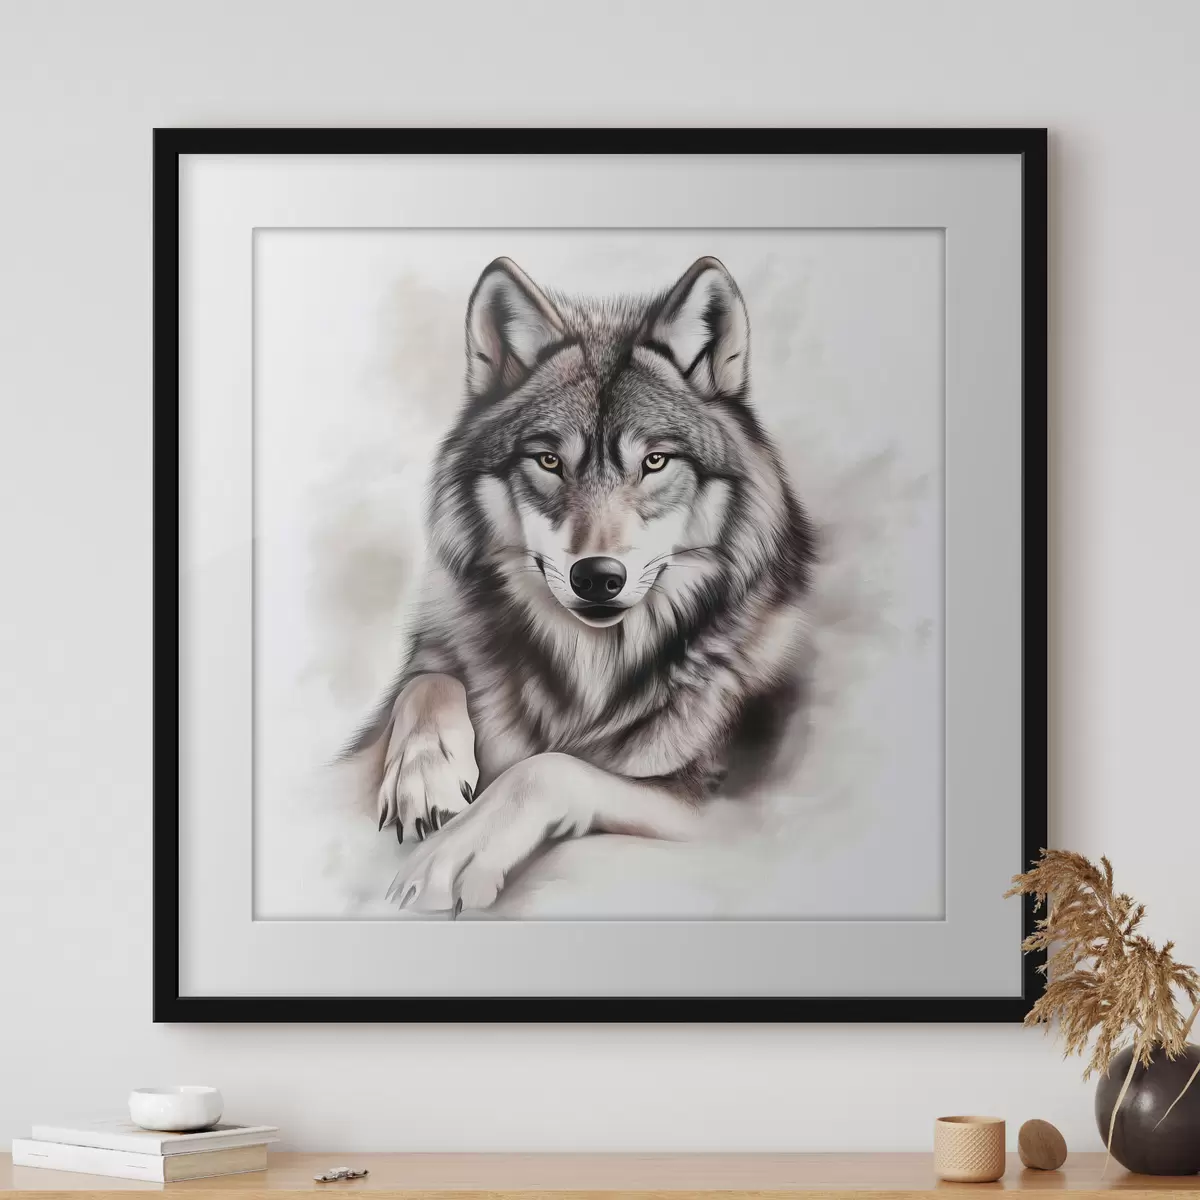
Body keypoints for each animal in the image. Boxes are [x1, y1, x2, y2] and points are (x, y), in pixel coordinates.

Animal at [347, 255, 816, 913]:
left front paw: (456, 852)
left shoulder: (716, 806)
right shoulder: (439, 642)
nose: (597, 577)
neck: (589, 666)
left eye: (654, 461)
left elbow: (548, 767)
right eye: (548, 461)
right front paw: (426, 776)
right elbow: (428, 679)